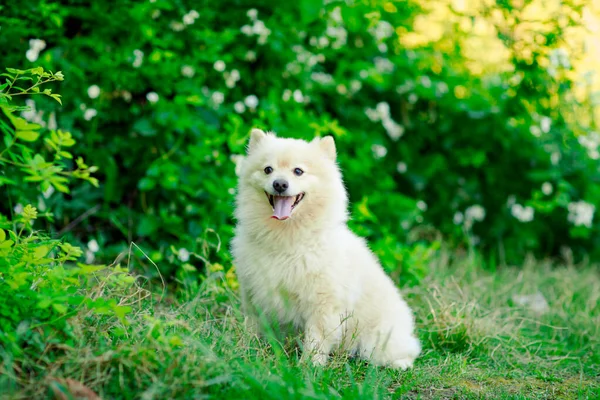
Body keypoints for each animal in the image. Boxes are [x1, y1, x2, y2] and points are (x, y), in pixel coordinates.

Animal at [231, 129, 422, 368]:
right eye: (268, 169)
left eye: (298, 171)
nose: (280, 184)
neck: (286, 238)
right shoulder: (253, 292)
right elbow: (253, 325)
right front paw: (246, 351)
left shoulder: (323, 303)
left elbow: (316, 339)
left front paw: (308, 368)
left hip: (376, 342)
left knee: (407, 350)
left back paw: (399, 364)